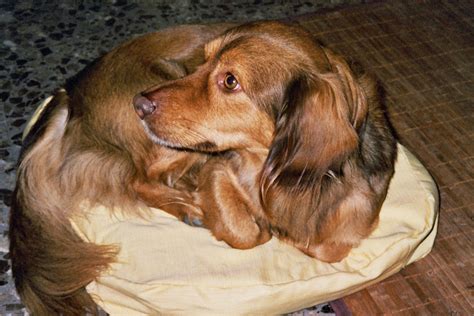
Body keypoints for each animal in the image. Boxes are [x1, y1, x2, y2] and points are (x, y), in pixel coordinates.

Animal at [135, 21, 398, 262]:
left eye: (230, 81)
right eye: (205, 58)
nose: (139, 103)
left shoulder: (353, 221)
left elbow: (322, 248)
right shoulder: (217, 167)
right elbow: (247, 232)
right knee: (141, 180)